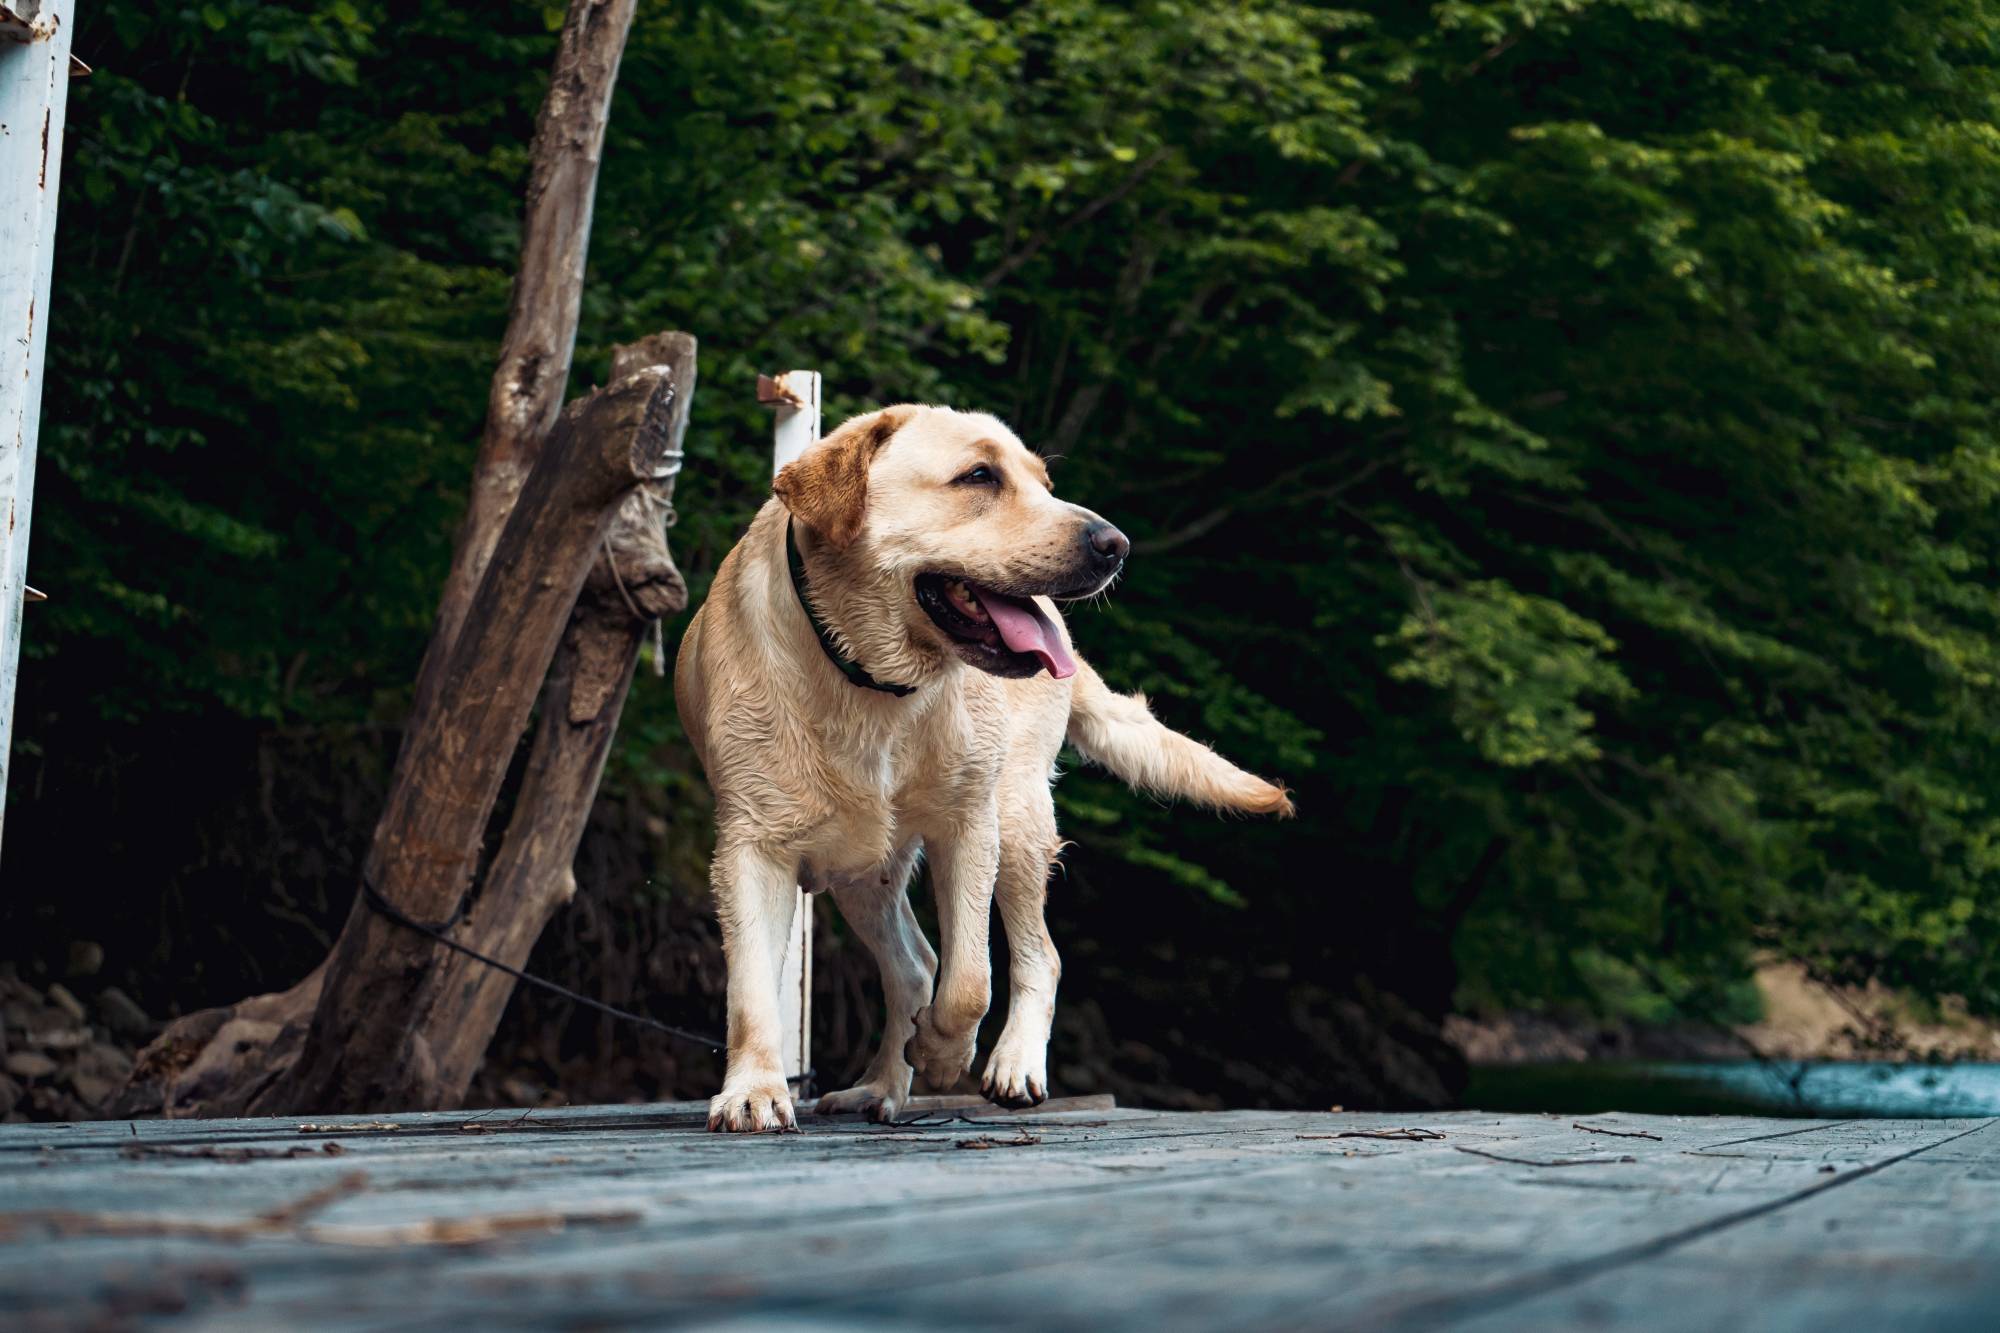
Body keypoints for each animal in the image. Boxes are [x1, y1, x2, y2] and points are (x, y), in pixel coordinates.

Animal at [680, 400, 1288, 1128]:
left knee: (1036, 957)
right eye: (978, 476)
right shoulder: (751, 846)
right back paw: (882, 1086)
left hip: (1018, 819)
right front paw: (753, 1090)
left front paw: (944, 1055)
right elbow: (750, 988)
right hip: (864, 872)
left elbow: (971, 978)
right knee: (915, 966)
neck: (874, 682)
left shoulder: (969, 823)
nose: (1115, 544)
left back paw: (1010, 1063)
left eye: (1042, 482)